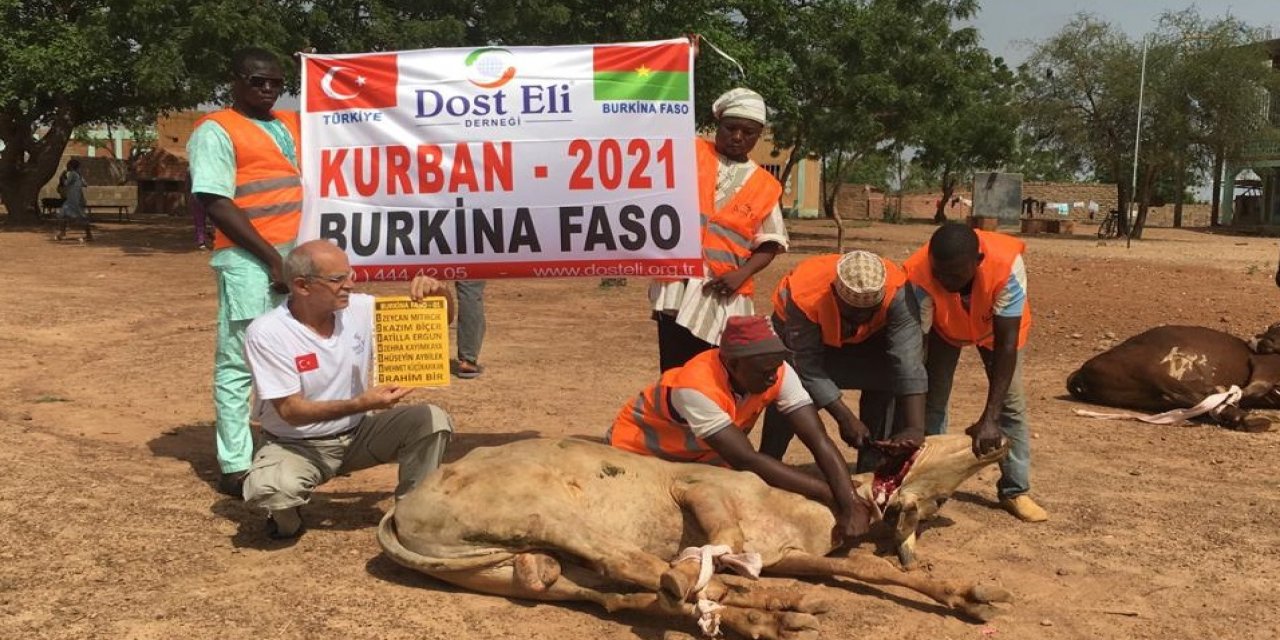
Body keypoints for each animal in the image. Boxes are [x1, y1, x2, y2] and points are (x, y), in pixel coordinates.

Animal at [373, 432, 1013, 637]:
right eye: (917, 445)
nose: (991, 439)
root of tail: (403, 510)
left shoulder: (790, 554)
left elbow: (865, 568)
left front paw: (969, 594)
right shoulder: (696, 484)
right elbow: (717, 540)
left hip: (515, 569)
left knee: (608, 591)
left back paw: (764, 615)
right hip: (546, 514)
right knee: (640, 570)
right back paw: (769, 607)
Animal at [1064, 322, 1280, 432]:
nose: (1259, 340)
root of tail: (1079, 375)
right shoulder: (1264, 368)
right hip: (1151, 372)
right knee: (1200, 396)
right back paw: (1247, 418)